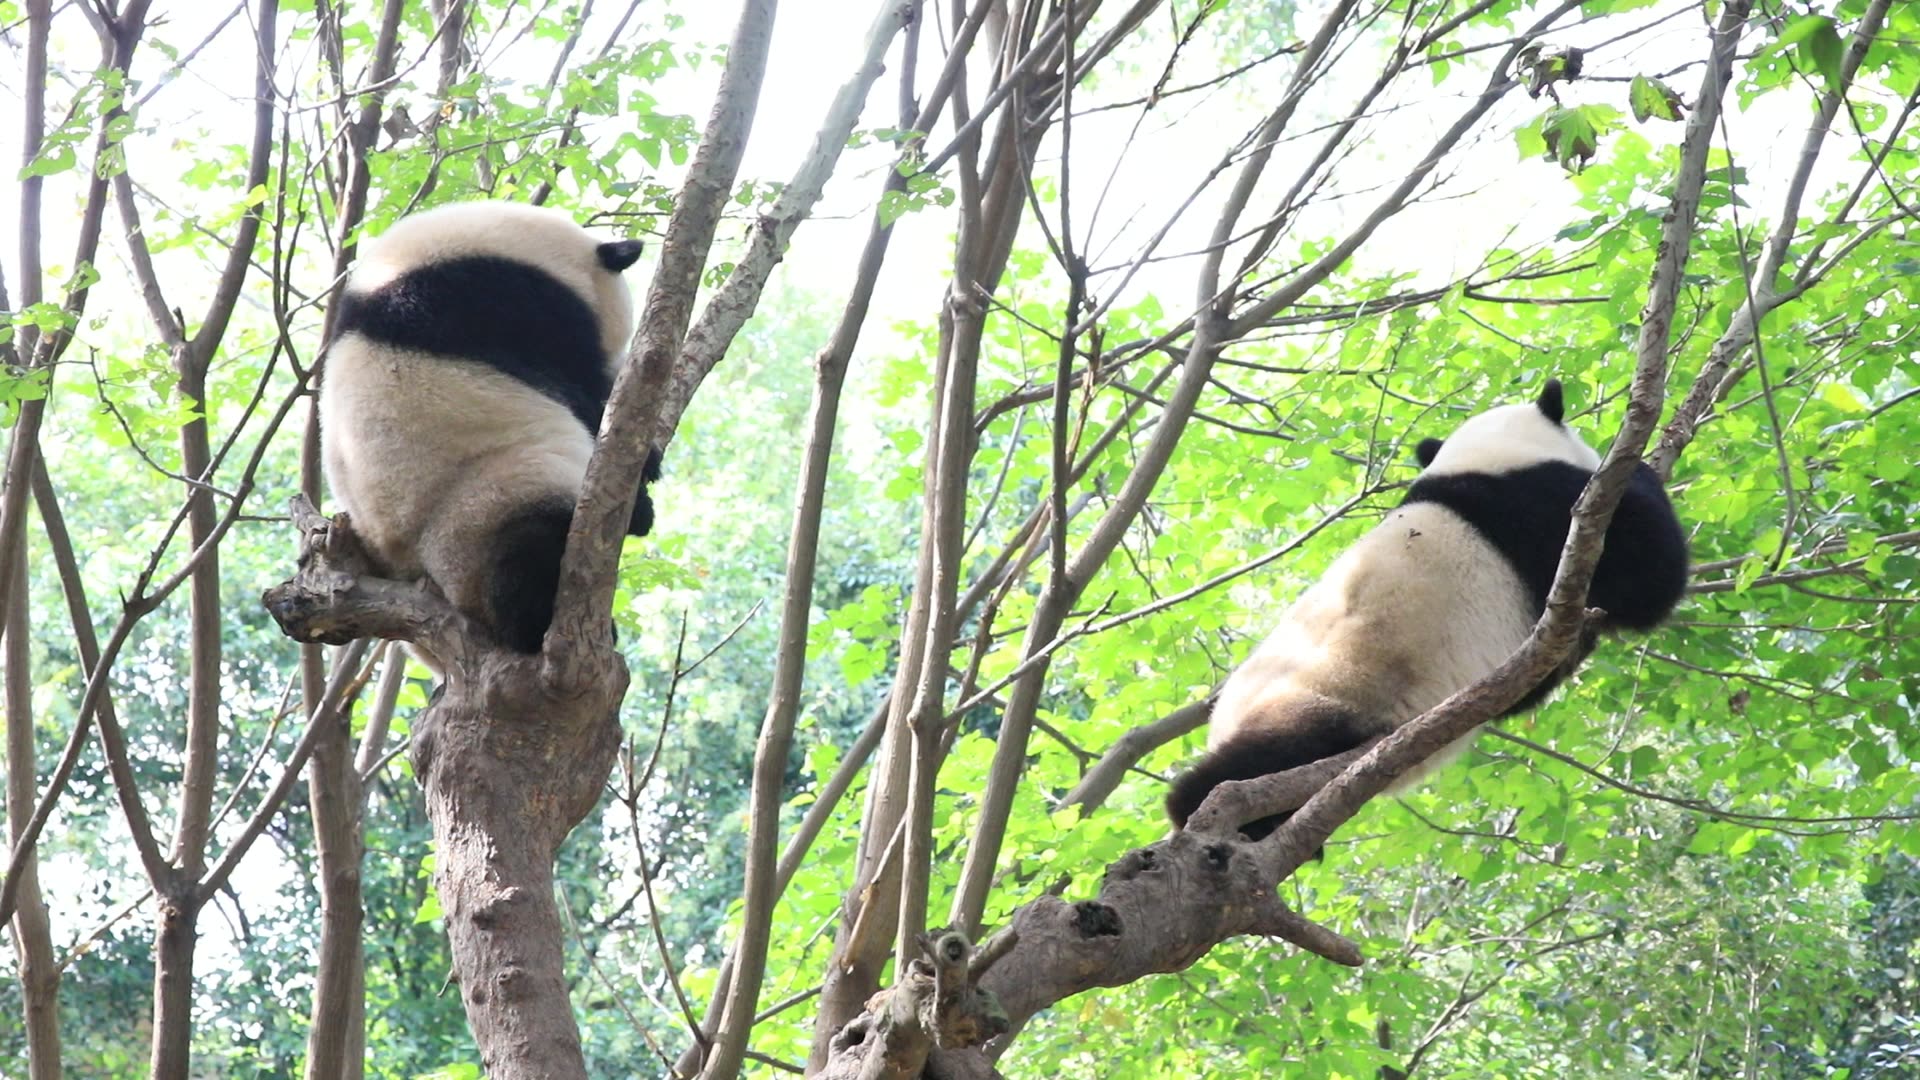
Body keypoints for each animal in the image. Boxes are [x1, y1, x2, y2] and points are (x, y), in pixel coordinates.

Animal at [318, 196, 664, 661]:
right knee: (528, 548)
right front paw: (644, 455)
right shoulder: (492, 299)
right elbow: (567, 385)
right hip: (485, 507)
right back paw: (540, 622)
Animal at [1159, 378, 1689, 841]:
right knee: (1266, 756)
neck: (1486, 458)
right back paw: (1211, 809)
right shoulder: (1549, 516)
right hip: (1329, 695)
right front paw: (1638, 464)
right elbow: (1650, 573)